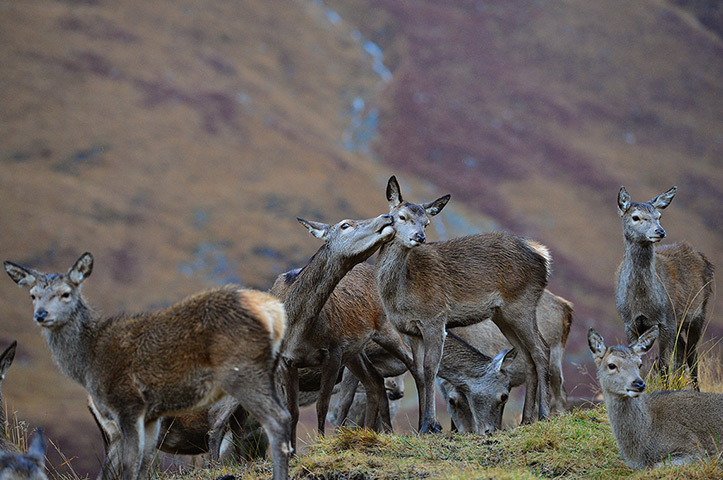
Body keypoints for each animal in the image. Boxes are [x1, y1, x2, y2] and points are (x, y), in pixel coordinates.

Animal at [375, 176, 552, 432]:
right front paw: (422, 426)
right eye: (401, 217)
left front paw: (431, 425)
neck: (401, 292)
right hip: (502, 315)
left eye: (426, 222)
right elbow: (418, 372)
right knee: (527, 355)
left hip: (522, 303)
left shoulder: (435, 319)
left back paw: (544, 415)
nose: (420, 237)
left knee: (541, 349)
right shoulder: (409, 330)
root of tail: (543, 256)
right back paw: (527, 418)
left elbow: (431, 369)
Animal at [616, 186, 714, 387]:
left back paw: (696, 388)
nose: (660, 231)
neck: (642, 301)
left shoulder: (666, 320)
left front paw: (666, 387)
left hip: (698, 314)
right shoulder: (630, 323)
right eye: (635, 217)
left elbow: (663, 364)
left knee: (692, 355)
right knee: (682, 351)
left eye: (659, 216)